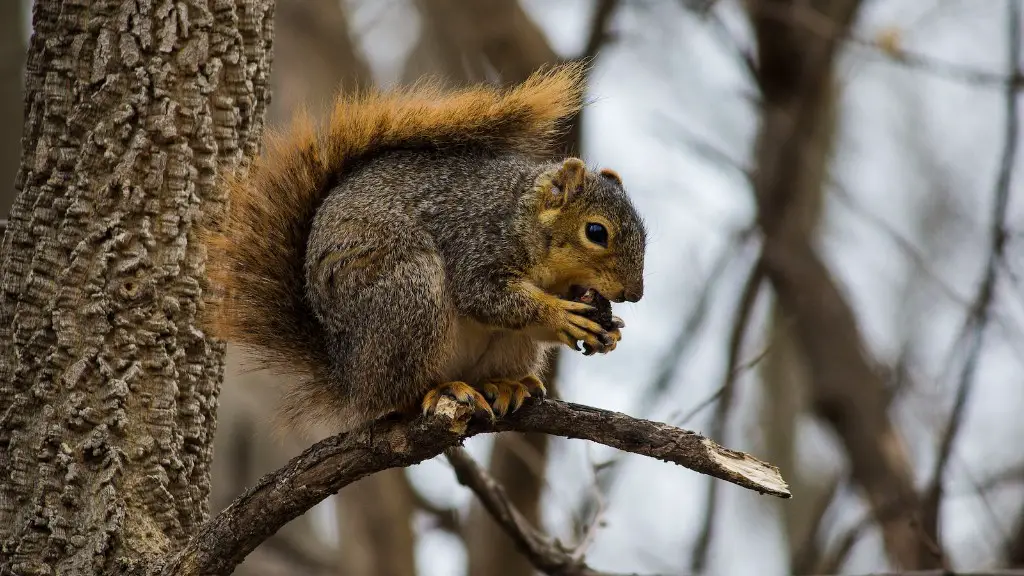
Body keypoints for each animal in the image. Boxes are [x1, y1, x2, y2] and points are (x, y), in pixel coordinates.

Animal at [200, 62, 647, 432]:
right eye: (596, 232)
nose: (634, 295)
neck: (524, 219)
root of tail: (350, 378)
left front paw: (610, 331)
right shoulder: (476, 240)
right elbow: (486, 297)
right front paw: (559, 314)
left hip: (505, 345)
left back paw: (504, 384)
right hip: (410, 297)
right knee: (400, 396)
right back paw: (439, 391)